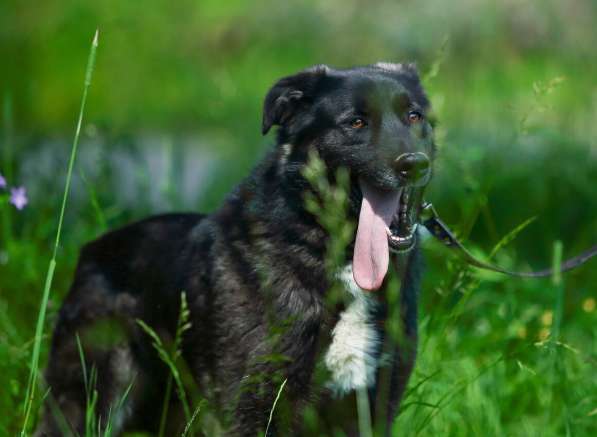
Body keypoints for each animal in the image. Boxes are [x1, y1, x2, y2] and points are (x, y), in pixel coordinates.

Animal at [39, 62, 436, 436]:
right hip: (90, 403)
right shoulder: (253, 407)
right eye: (356, 122)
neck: (335, 258)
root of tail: (92, 251)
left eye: (414, 116)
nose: (415, 164)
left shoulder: (370, 408)